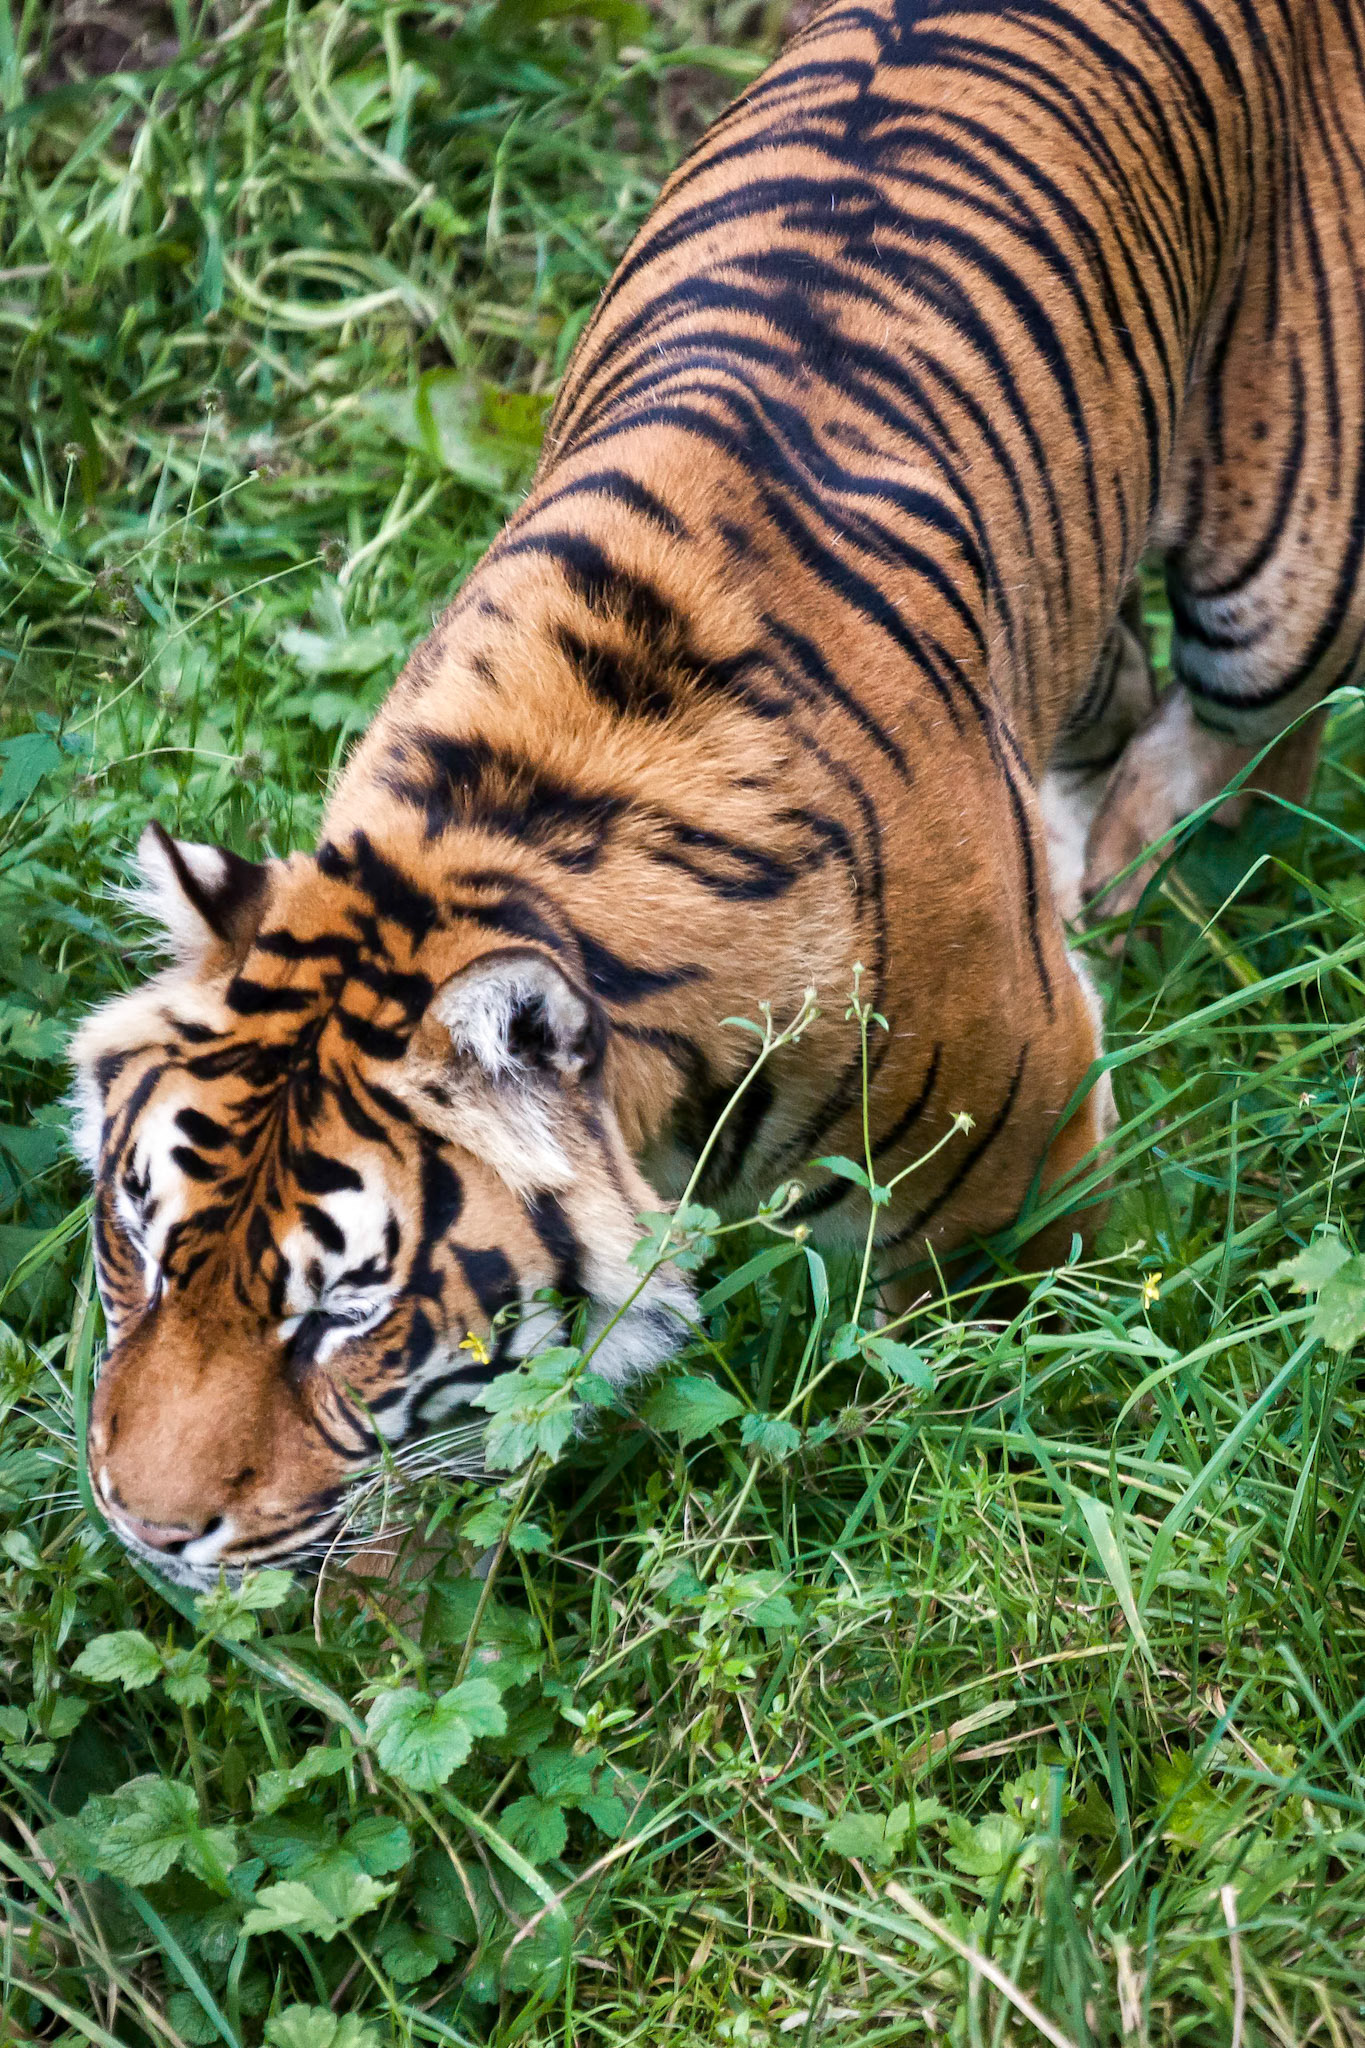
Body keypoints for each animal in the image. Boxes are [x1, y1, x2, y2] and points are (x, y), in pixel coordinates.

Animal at [72, 0, 1365, 1585]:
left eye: (342, 1316)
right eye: (139, 1247)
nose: (145, 1527)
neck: (493, 829)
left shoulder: (1024, 1125)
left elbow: (1006, 1337)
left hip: (1286, 569)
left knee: (1261, 741)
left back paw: (1142, 889)